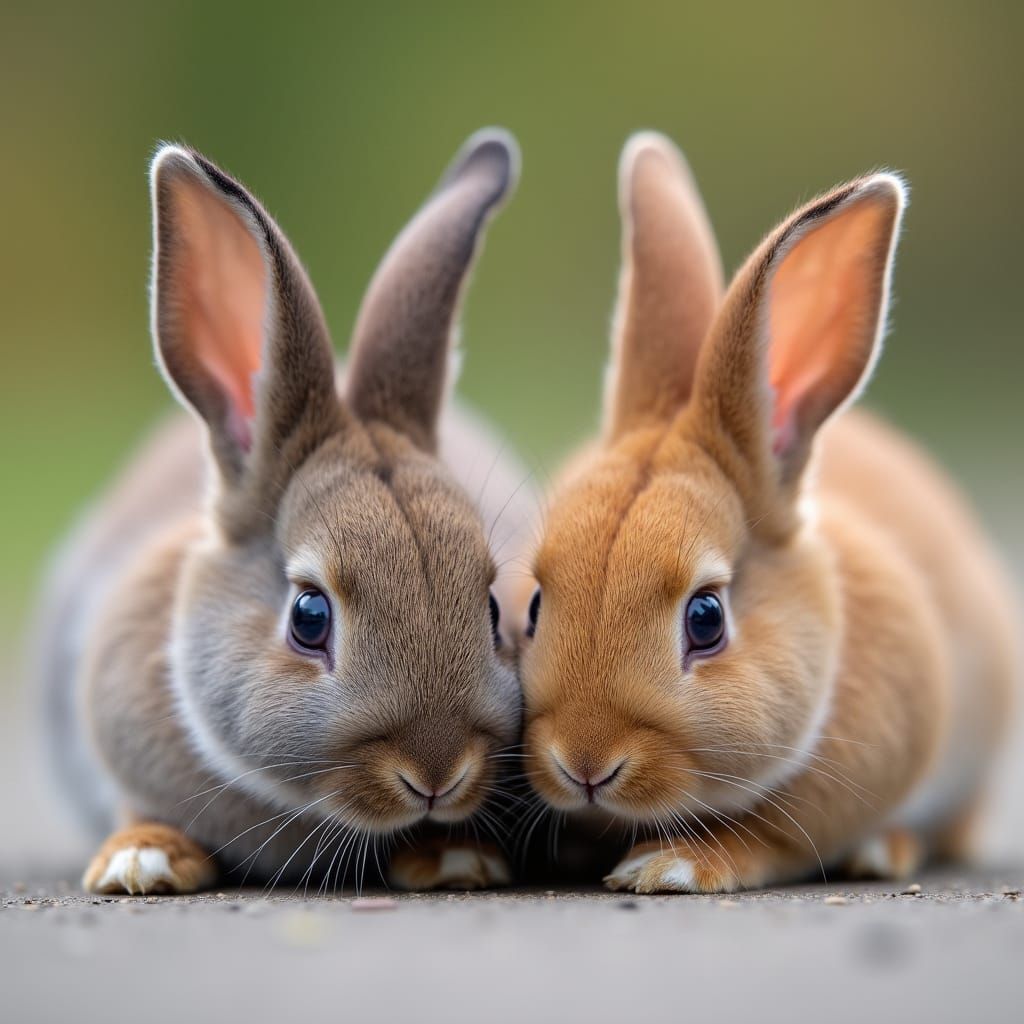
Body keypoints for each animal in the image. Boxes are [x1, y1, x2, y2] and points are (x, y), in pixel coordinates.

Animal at [518, 131, 1020, 893]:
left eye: (706, 618)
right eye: (535, 605)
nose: (585, 763)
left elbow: (769, 833)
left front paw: (670, 866)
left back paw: (888, 848)